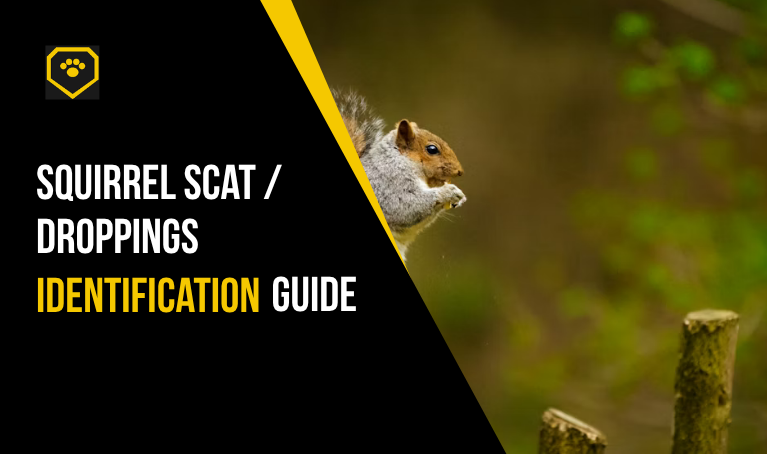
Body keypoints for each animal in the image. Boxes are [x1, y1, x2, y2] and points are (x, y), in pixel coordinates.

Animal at [333, 89, 466, 260]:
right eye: (432, 149)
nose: (459, 171)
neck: (401, 160)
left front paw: (459, 199)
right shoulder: (388, 183)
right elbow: (406, 206)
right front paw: (448, 191)